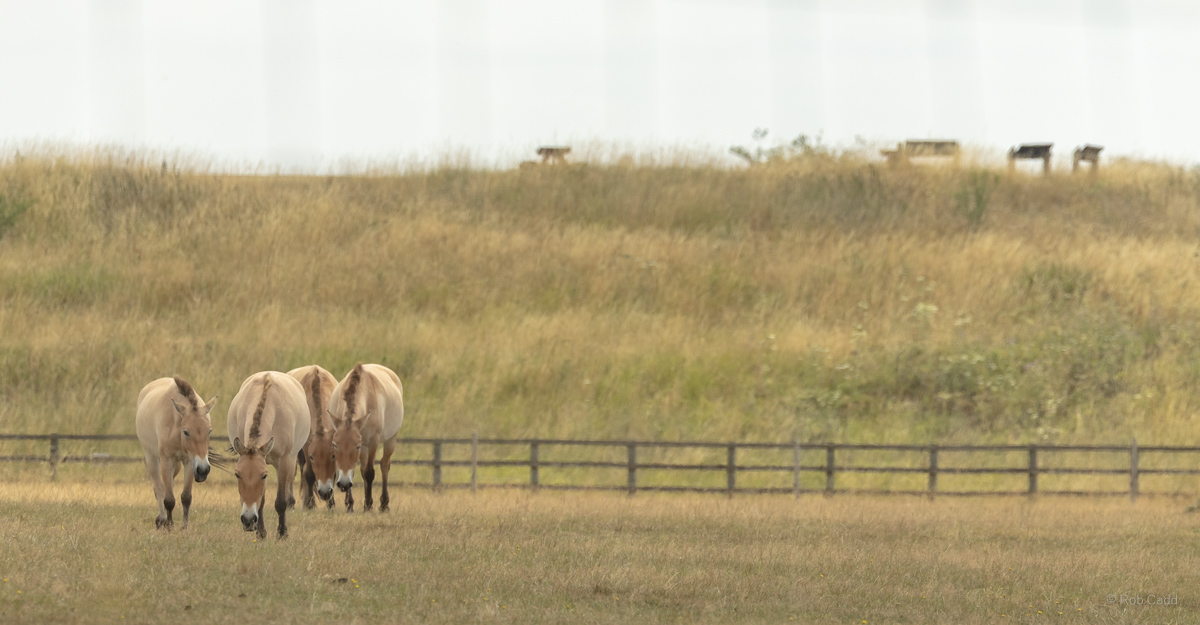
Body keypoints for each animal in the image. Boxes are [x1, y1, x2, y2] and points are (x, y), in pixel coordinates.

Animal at [135, 377, 217, 530]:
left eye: (209, 431)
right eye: (186, 432)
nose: (203, 470)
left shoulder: (190, 461)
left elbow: (185, 497)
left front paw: (184, 527)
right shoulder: (167, 460)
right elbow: (168, 499)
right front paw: (168, 526)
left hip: (177, 465)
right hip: (152, 458)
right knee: (159, 488)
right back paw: (161, 520)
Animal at [227, 371, 310, 538]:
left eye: (264, 476)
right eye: (237, 474)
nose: (248, 520)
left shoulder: (283, 462)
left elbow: (281, 501)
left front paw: (282, 534)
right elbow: (261, 502)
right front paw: (261, 533)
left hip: (292, 459)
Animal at [286, 365, 338, 509]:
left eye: (333, 456)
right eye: (312, 457)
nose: (325, 492)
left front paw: (331, 503)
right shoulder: (306, 447)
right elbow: (308, 474)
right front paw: (309, 505)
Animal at [328, 363, 404, 512]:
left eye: (356, 446)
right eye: (334, 445)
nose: (344, 484)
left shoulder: (372, 441)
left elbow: (369, 472)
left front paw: (368, 505)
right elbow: (355, 470)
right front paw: (350, 504)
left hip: (390, 439)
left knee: (384, 465)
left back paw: (384, 504)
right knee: (363, 468)